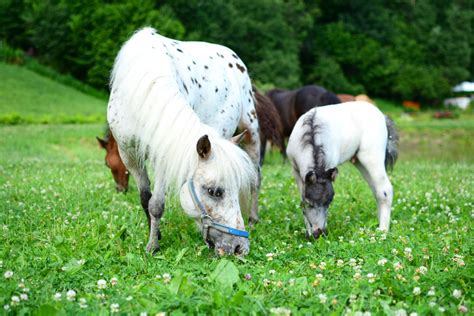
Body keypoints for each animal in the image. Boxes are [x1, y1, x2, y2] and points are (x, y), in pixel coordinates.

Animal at [107, 27, 260, 256]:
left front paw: (153, 245)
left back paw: (253, 218)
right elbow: (146, 199)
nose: (239, 247)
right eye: (214, 192)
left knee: (256, 179)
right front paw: (154, 238)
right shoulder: (129, 155)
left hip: (251, 132)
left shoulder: (163, 153)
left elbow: (156, 204)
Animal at [286, 102, 398, 238]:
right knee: (376, 190)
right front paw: (308, 232)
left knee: (385, 189)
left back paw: (383, 230)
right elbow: (301, 199)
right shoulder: (296, 171)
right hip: (359, 161)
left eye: (329, 203)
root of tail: (383, 116)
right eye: (309, 203)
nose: (319, 233)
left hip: (371, 157)